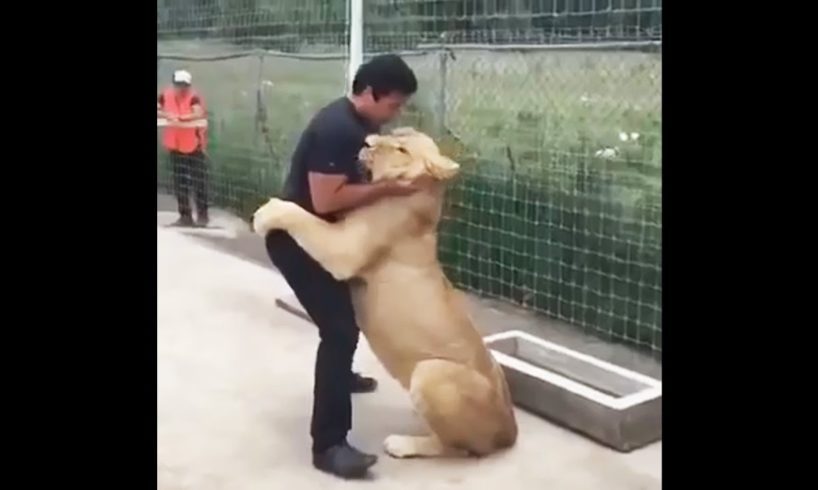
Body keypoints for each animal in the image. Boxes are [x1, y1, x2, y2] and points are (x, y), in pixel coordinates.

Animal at [252, 127, 516, 460]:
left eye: (402, 149)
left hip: (430, 373)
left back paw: (402, 444)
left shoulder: (346, 249)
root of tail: (510, 432)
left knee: (455, 448)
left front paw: (266, 213)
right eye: (396, 131)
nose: (368, 141)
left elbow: (303, 216)